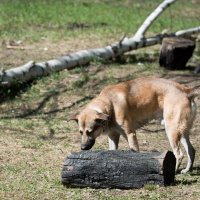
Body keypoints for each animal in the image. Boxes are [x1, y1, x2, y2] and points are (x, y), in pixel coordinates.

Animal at [70, 76, 198, 173]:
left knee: (179, 154)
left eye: (90, 131)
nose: (82, 148)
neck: (110, 104)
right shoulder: (112, 136)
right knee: (191, 150)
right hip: (182, 132)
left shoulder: (130, 134)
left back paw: (173, 171)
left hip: (171, 131)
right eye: (80, 132)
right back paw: (186, 170)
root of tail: (186, 90)